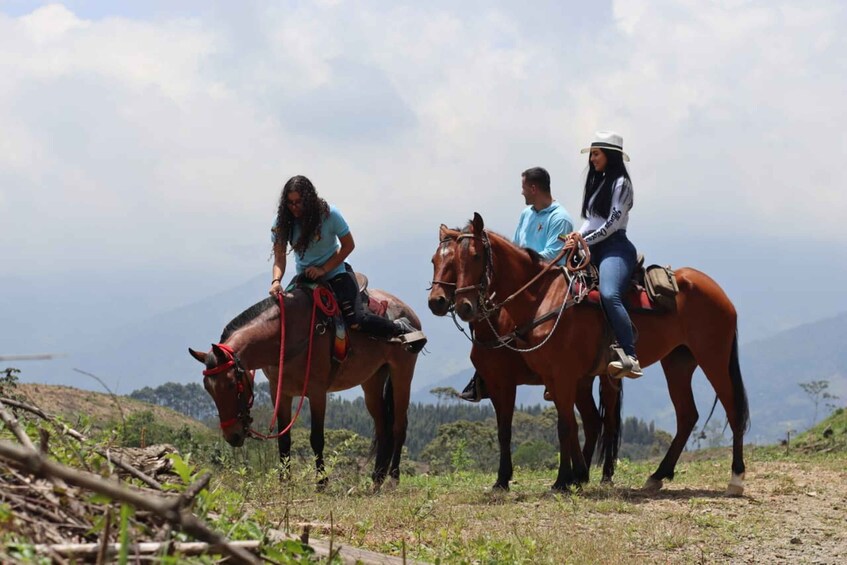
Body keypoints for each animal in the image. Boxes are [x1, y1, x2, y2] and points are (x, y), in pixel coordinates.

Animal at [189, 284, 420, 486]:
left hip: (402, 374)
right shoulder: (280, 392)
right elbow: (284, 438)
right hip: (372, 381)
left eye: (230, 384)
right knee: (383, 428)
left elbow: (316, 438)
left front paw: (321, 483)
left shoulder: (317, 392)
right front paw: (284, 481)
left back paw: (392, 480)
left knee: (399, 426)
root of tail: (408, 311)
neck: (285, 338)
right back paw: (376, 481)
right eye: (208, 389)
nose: (233, 435)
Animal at [430, 225, 624, 490]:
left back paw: (604, 475)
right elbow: (504, 430)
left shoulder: (509, 383)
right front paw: (502, 479)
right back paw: (581, 474)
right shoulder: (496, 383)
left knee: (609, 423)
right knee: (592, 421)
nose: (436, 301)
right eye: (434, 261)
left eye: (456, 263)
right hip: (582, 381)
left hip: (604, 377)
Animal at [454, 213, 752, 494]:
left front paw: (562, 480)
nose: (462, 305)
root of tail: (720, 293)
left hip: (713, 357)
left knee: (732, 410)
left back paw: (736, 479)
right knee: (686, 415)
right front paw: (570, 477)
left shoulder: (556, 376)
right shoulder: (550, 378)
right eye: (452, 259)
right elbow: (556, 425)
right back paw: (657, 475)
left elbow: (565, 426)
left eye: (476, 256)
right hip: (677, 362)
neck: (543, 298)